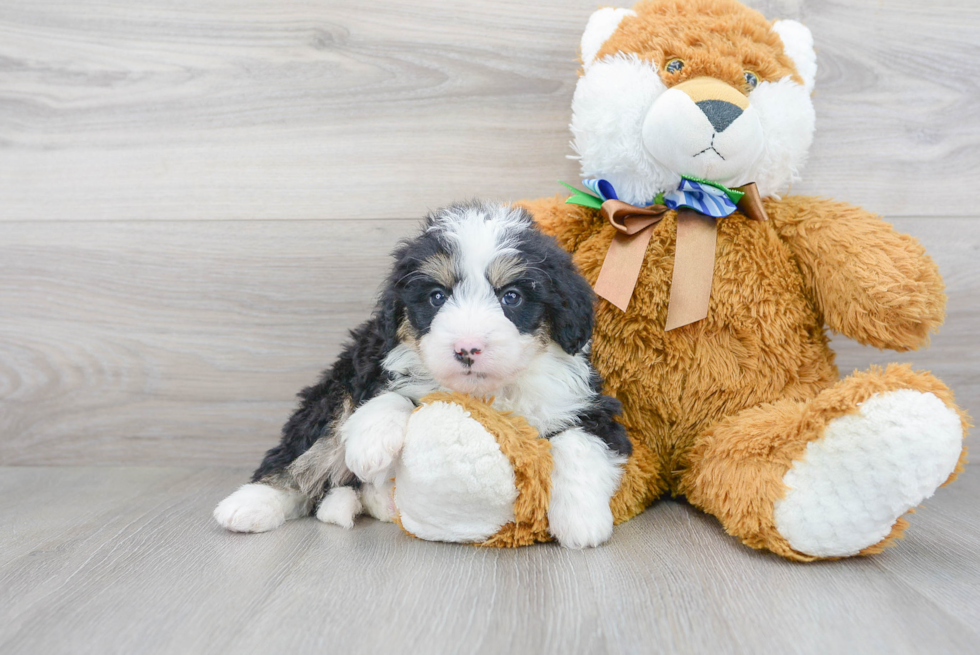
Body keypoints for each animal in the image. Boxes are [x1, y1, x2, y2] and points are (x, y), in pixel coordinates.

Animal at [212, 200, 628, 548]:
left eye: (511, 297)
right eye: (437, 297)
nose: (467, 349)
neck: (487, 393)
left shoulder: (591, 406)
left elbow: (578, 443)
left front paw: (581, 521)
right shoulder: (374, 363)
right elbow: (394, 393)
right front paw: (370, 442)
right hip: (332, 392)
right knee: (302, 453)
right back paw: (251, 504)